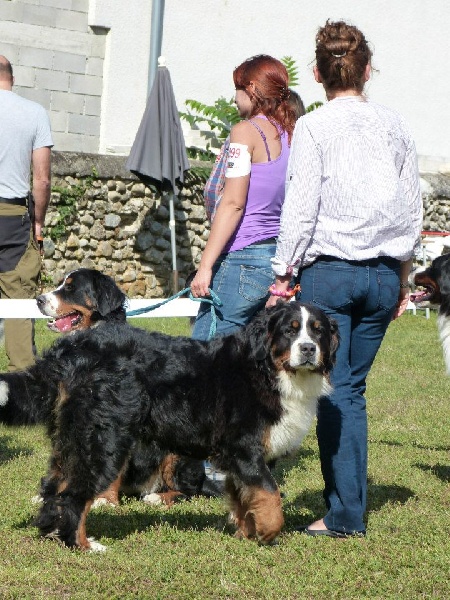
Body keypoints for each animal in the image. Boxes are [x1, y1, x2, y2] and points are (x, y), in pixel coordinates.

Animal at [0, 268, 221, 506]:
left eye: (70, 287)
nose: (38, 300)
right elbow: (61, 462)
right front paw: (47, 495)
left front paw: (105, 499)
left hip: (177, 450)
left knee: (189, 491)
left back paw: (158, 497)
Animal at [32, 300, 339, 551]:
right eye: (290, 331)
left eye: (318, 331)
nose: (309, 349)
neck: (266, 370)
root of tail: (73, 349)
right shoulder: (246, 450)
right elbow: (270, 495)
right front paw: (268, 533)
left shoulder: (241, 457)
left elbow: (245, 496)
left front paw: (246, 534)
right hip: (104, 442)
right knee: (74, 495)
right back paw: (82, 544)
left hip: (73, 442)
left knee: (55, 489)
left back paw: (52, 531)